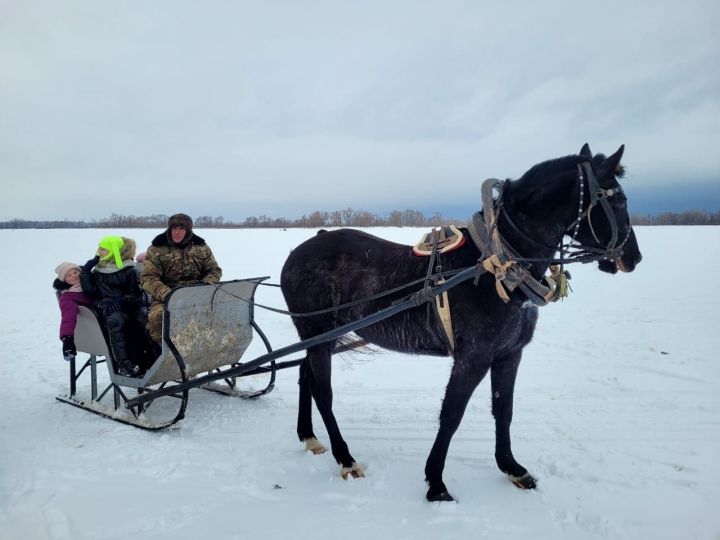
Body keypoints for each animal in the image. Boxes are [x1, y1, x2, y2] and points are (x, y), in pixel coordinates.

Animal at [280, 144, 640, 502]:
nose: (633, 258)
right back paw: (345, 458)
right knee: (323, 392)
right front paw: (436, 483)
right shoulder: (473, 357)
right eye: (620, 200)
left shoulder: (509, 354)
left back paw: (309, 436)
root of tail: (301, 249)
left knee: (305, 375)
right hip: (319, 332)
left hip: (320, 339)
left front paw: (512, 467)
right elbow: (452, 414)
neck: (496, 266)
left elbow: (504, 410)